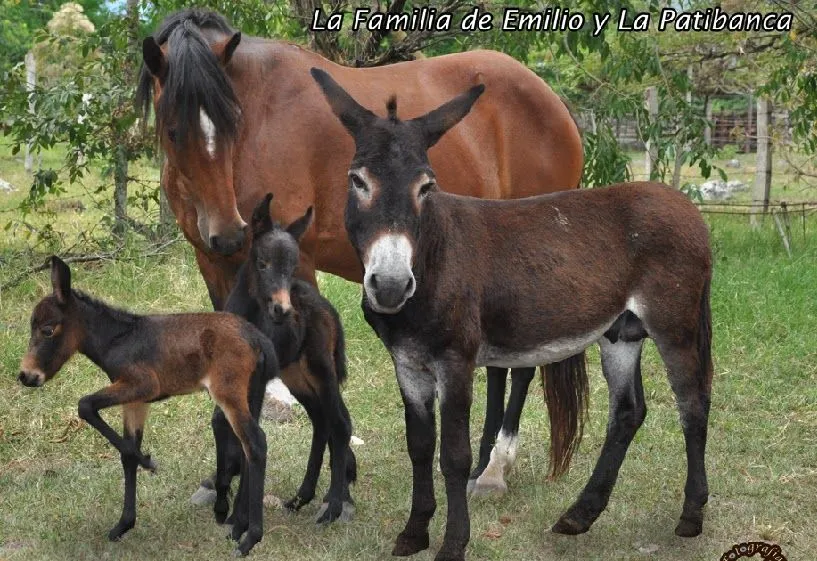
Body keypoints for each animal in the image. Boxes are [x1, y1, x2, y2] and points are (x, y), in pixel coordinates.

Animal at [215, 194, 356, 524]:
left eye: (292, 267)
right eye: (262, 263)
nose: (282, 310)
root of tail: (328, 308)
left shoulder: (254, 384)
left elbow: (249, 439)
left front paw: (239, 515)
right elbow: (221, 424)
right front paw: (223, 503)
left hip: (321, 369)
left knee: (340, 423)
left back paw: (333, 506)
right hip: (297, 376)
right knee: (321, 421)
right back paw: (303, 498)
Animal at [316, 70, 712, 560]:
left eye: (427, 186)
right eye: (358, 181)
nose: (389, 286)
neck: (433, 254)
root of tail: (685, 206)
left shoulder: (456, 361)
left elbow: (455, 455)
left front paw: (453, 543)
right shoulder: (407, 363)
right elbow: (420, 447)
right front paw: (413, 532)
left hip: (674, 323)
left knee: (692, 404)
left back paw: (691, 515)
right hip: (621, 333)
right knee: (627, 411)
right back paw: (581, 514)